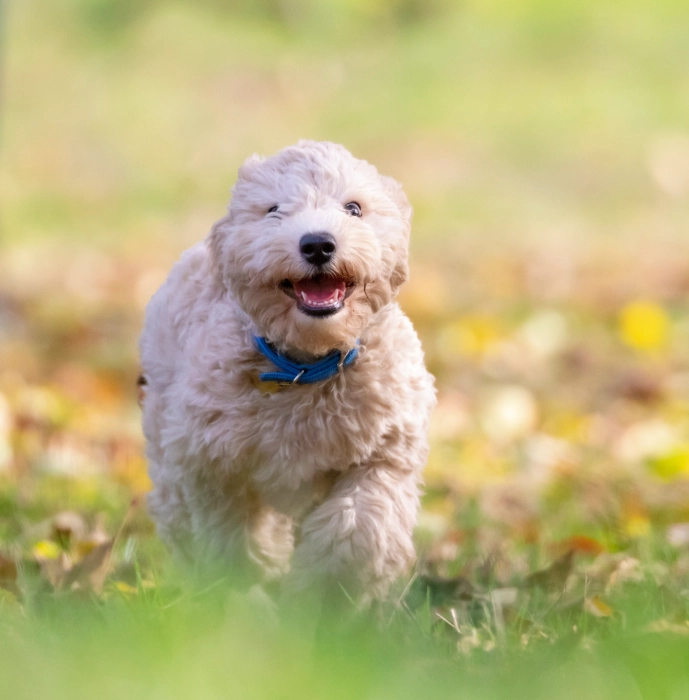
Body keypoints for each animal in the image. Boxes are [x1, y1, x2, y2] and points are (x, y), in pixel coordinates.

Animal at [140, 139, 436, 604]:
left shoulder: (385, 452)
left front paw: (322, 597)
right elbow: (233, 536)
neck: (307, 365)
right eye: (273, 210)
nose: (317, 244)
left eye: (354, 208)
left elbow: (359, 526)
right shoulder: (212, 462)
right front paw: (247, 590)